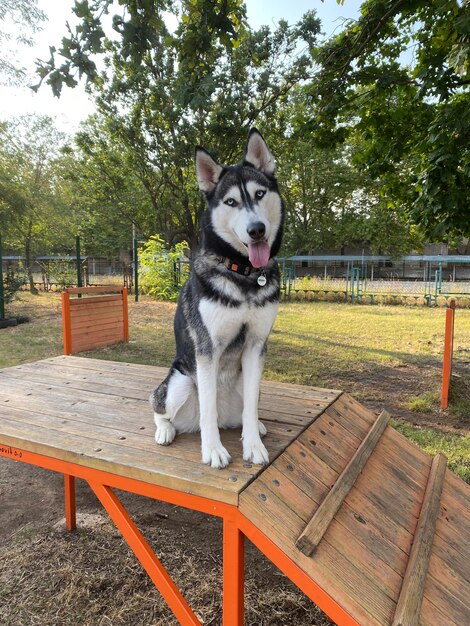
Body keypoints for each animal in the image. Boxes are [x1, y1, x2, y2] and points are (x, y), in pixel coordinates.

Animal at [149, 128, 284, 468]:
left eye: (259, 194)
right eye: (231, 201)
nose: (257, 230)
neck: (244, 273)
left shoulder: (256, 345)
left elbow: (250, 408)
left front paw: (253, 446)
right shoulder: (206, 349)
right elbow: (207, 408)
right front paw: (212, 450)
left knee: (247, 409)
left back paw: (256, 427)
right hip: (180, 382)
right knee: (159, 405)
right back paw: (165, 430)